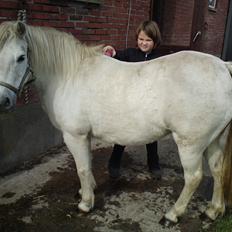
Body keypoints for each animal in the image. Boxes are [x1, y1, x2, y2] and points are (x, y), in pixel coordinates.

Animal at [0, 20, 232, 224]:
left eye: (21, 57)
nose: (3, 101)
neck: (69, 75)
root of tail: (222, 66)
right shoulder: (85, 136)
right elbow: (88, 165)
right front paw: (87, 190)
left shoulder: (75, 136)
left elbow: (82, 168)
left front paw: (86, 203)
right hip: (214, 140)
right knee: (217, 170)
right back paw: (213, 211)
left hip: (190, 144)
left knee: (194, 177)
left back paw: (172, 215)